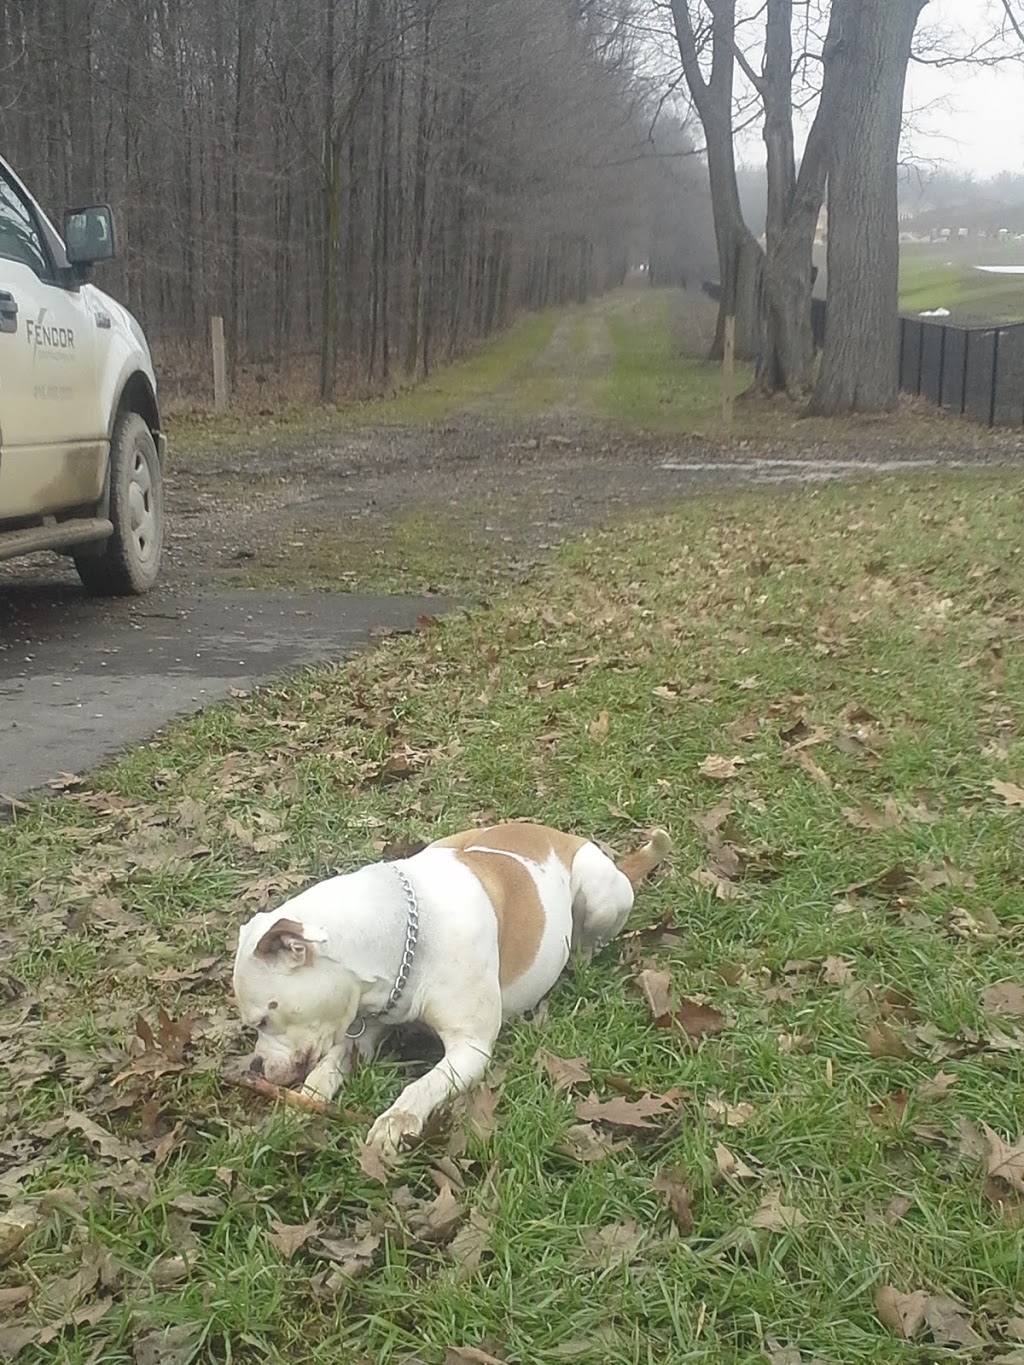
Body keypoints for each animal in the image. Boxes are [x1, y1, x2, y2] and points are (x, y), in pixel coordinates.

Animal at [236, 824, 677, 1157]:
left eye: (263, 1019)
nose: (254, 1067)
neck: (406, 934)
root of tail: (557, 834)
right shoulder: (361, 1028)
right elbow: (325, 1070)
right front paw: (298, 1108)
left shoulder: (470, 1048)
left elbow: (422, 1085)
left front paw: (395, 1121)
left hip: (600, 891)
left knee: (590, 940)